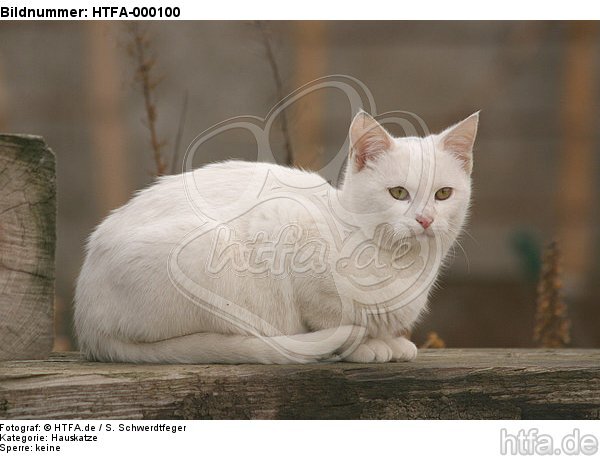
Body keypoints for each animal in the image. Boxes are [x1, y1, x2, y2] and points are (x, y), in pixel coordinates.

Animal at [75, 112, 478, 366]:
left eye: (443, 194)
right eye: (398, 193)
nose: (425, 219)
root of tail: (88, 325)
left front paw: (390, 340)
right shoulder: (286, 227)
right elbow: (331, 317)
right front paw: (367, 345)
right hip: (210, 260)